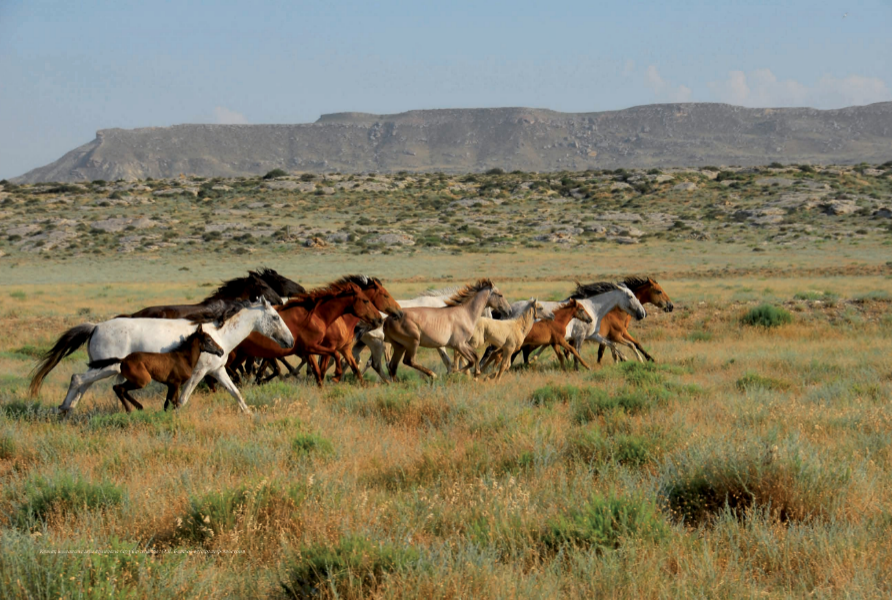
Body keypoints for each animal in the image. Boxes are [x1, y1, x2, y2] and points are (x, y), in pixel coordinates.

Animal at [27, 298, 292, 414]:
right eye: (275, 317)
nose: (289, 341)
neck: (219, 334)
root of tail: (95, 327)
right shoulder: (198, 373)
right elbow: (182, 398)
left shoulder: (217, 371)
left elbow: (235, 393)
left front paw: (249, 414)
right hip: (107, 368)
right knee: (78, 379)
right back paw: (65, 410)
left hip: (101, 368)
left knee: (82, 384)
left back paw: (69, 409)